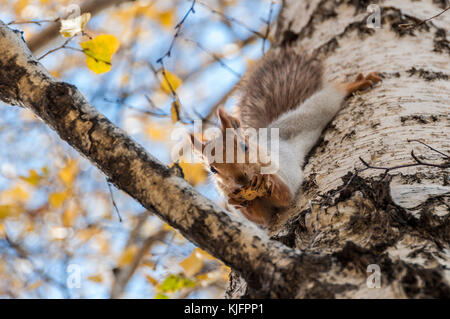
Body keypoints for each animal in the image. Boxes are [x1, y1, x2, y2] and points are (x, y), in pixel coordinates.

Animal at [188, 48, 382, 226]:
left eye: (245, 147)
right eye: (213, 169)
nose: (241, 180)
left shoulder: (281, 166)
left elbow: (286, 194)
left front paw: (270, 182)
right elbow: (260, 217)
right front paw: (237, 202)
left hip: (312, 112)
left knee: (331, 94)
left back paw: (356, 83)